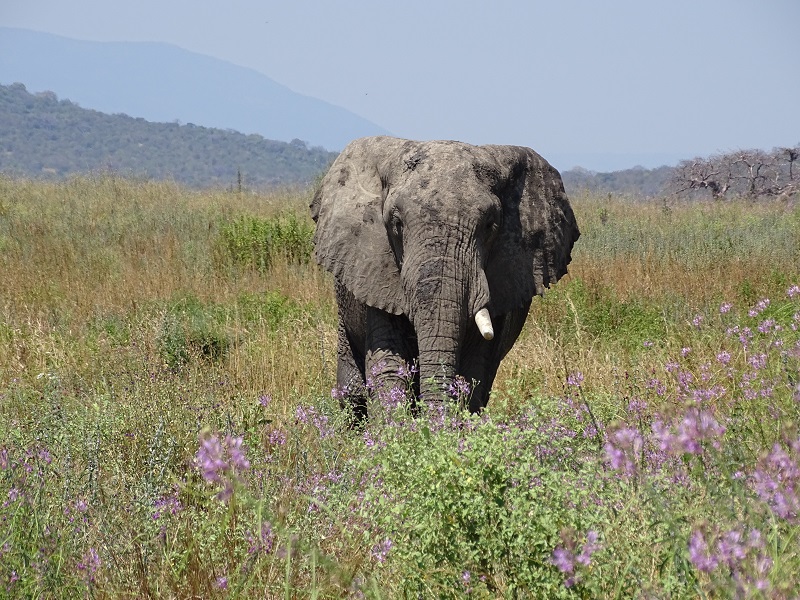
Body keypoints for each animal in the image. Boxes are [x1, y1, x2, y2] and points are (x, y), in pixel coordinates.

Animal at [310, 135, 580, 418]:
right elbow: (389, 369)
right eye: (396, 223)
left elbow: (474, 373)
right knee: (352, 393)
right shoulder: (376, 271)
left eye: (490, 225)